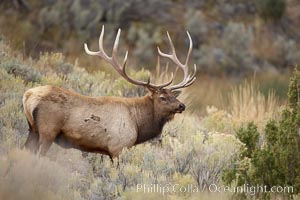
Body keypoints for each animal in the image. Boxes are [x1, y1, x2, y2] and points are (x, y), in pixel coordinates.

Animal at [23, 26, 197, 159]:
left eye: (173, 96)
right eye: (162, 97)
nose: (182, 106)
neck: (137, 124)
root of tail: (28, 97)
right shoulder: (118, 147)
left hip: (32, 129)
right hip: (48, 130)